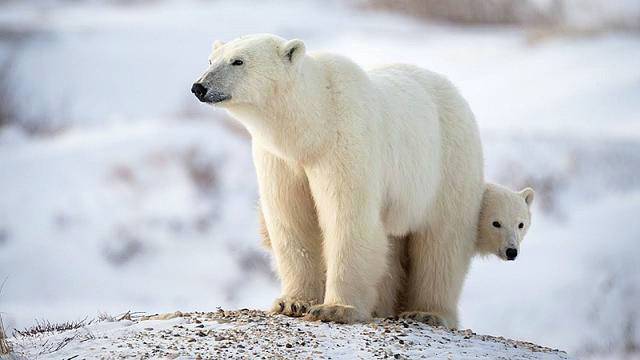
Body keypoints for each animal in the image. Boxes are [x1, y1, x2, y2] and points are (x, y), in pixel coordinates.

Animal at [192, 33, 482, 326]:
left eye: (238, 61)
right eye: (211, 60)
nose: (199, 87)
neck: (314, 124)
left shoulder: (344, 142)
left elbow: (347, 217)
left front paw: (335, 308)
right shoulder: (280, 160)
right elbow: (293, 219)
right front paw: (292, 302)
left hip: (449, 164)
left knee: (442, 243)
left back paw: (427, 311)